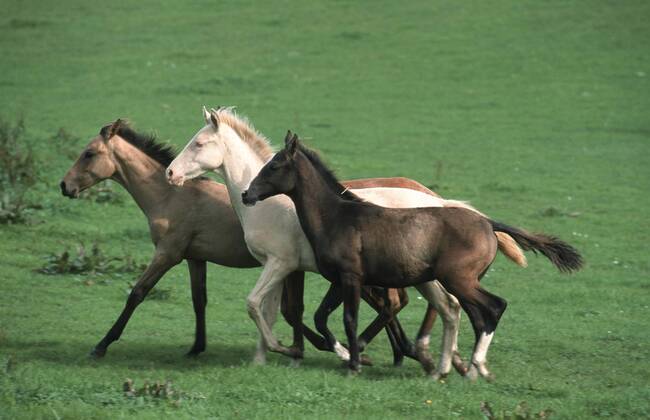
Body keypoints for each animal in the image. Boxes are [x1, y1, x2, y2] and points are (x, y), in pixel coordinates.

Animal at [59, 119, 475, 364]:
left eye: (89, 153)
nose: (65, 186)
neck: (172, 198)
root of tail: (433, 198)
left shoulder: (172, 253)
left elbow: (138, 293)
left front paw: (102, 344)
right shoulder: (204, 258)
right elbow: (219, 302)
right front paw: (210, 349)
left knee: (411, 303)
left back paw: (407, 354)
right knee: (419, 303)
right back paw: (419, 356)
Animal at [165, 107, 526, 371]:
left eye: (198, 144)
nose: (171, 173)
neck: (273, 205)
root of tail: (443, 203)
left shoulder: (282, 264)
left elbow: (259, 305)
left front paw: (302, 351)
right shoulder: (283, 268)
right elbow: (272, 311)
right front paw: (264, 358)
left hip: (434, 276)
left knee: (446, 306)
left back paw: (435, 360)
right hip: (425, 277)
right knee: (447, 307)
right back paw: (442, 363)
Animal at [242, 132, 583, 379]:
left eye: (274, 166)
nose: (247, 194)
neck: (338, 217)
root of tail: (488, 223)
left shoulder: (351, 277)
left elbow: (349, 319)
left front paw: (354, 363)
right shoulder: (339, 281)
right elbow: (322, 317)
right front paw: (346, 354)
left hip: (459, 279)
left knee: (493, 307)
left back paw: (473, 367)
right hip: (460, 282)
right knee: (475, 315)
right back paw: (463, 369)